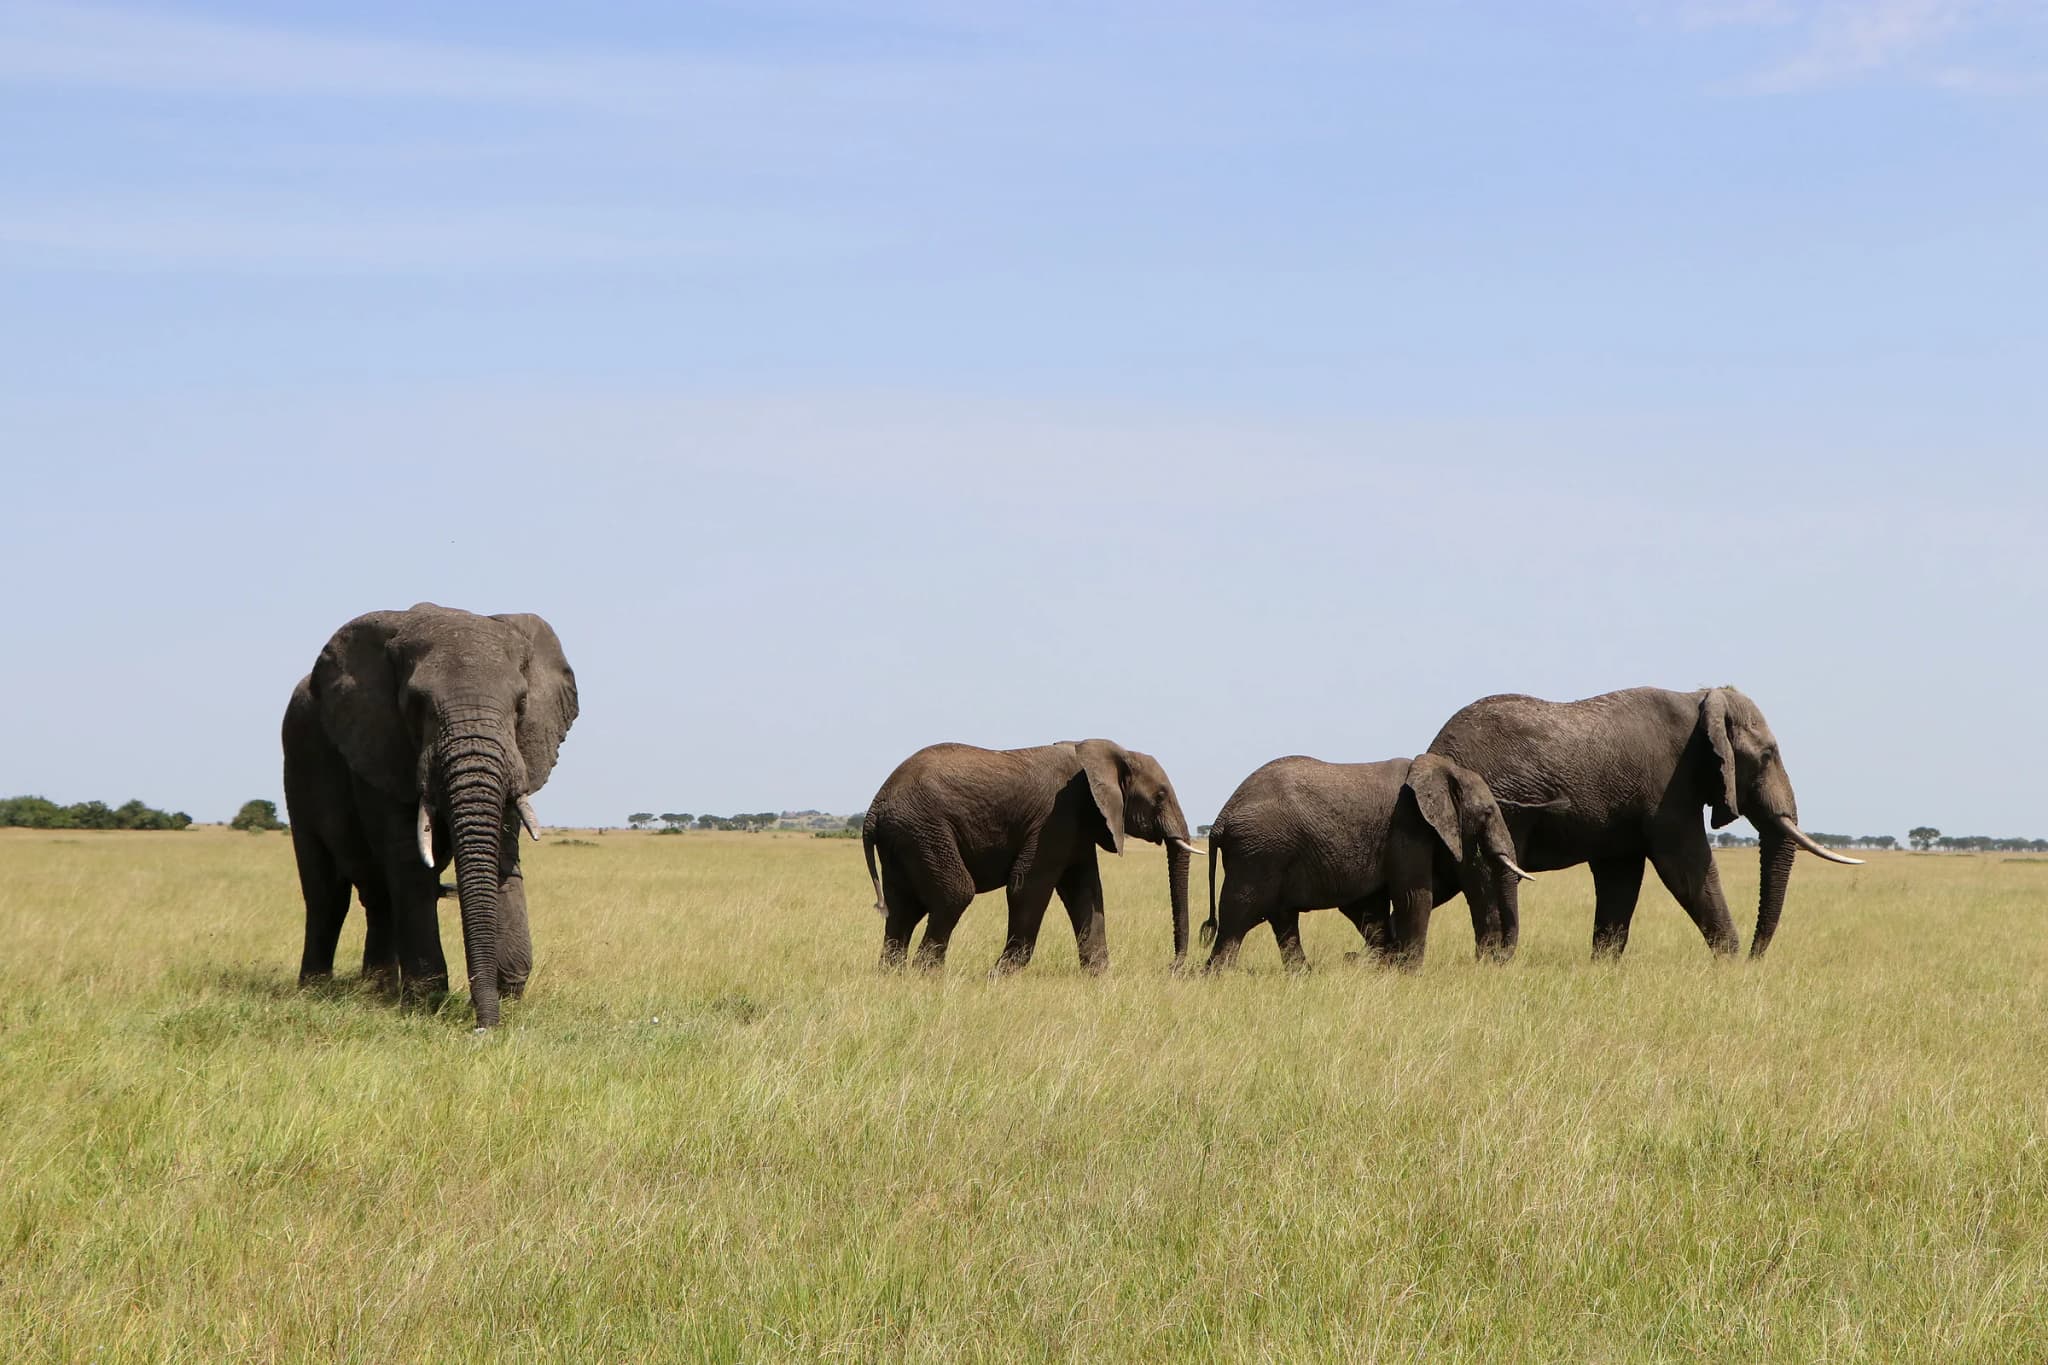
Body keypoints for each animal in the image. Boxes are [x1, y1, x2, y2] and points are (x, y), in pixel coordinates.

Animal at [283, 603, 578, 1028]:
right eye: (416, 705)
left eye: (520, 705)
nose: (484, 1027)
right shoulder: (381, 745)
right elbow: (409, 860)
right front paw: (426, 1001)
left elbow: (501, 854)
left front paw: (509, 995)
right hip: (297, 761)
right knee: (326, 893)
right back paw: (315, 990)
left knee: (378, 898)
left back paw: (377, 990)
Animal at [861, 739, 1198, 974]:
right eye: (1160, 796)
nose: (1172, 967)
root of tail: (875, 807)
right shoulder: (1056, 817)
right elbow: (1027, 885)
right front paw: (999, 976)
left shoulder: (1078, 825)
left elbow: (1086, 891)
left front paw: (1101, 978)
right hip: (924, 829)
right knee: (955, 894)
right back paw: (927, 975)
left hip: (904, 838)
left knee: (903, 907)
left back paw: (893, 976)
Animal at [1201, 753, 1536, 972]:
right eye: (1488, 813)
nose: (1497, 959)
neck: (1442, 768)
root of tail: (1221, 820)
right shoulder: (1407, 825)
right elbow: (1413, 895)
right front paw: (1409, 973)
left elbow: (1369, 908)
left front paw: (1385, 968)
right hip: (1259, 853)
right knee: (1239, 913)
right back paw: (1218, 975)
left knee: (1282, 917)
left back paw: (1302, 975)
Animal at [1386, 685, 1859, 966]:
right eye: (1766, 756)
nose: (1755, 960)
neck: (1700, 697)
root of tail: (1433, 748)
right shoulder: (1669, 786)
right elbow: (1686, 865)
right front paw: (1728, 964)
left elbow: (1621, 877)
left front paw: (1604, 968)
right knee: (1485, 878)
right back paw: (1493, 965)